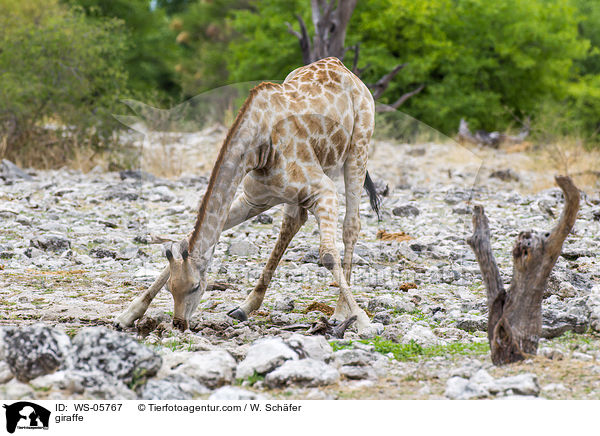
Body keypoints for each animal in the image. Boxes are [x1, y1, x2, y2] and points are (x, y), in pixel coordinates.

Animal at [115, 57, 382, 338]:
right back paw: (246, 306)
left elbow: (328, 255)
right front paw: (128, 315)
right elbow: (185, 239)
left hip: (358, 148)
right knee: (293, 222)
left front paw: (363, 321)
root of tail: (343, 68)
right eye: (171, 288)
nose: (179, 324)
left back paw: (341, 311)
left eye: (197, 286)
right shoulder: (254, 199)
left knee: (351, 225)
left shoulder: (325, 191)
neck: (260, 147)